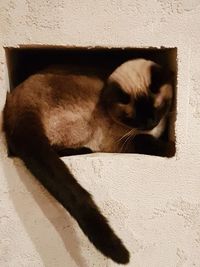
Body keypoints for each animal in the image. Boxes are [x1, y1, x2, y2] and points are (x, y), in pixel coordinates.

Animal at [3, 57, 175, 264]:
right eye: (135, 117)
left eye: (155, 109)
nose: (151, 123)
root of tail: (19, 100)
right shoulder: (122, 142)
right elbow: (146, 141)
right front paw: (171, 149)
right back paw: (83, 149)